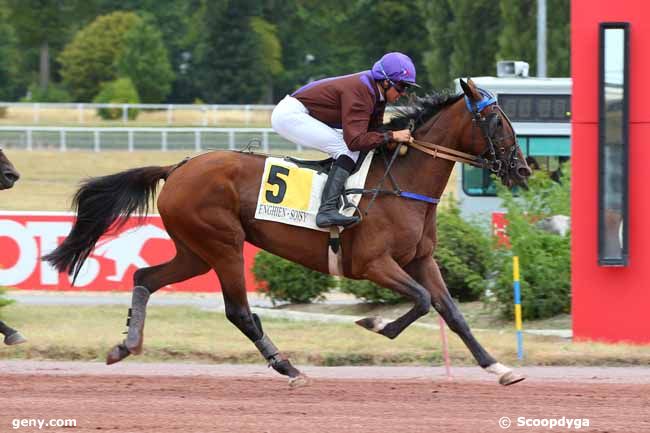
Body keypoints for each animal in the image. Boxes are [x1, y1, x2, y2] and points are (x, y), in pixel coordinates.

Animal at [43, 79, 528, 386]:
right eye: (498, 121)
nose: (522, 169)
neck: (401, 182)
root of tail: (178, 167)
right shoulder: (374, 263)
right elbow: (424, 301)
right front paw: (374, 323)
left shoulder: (420, 260)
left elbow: (451, 311)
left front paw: (499, 367)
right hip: (223, 244)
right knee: (239, 311)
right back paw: (287, 367)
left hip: (195, 250)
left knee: (144, 277)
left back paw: (126, 345)